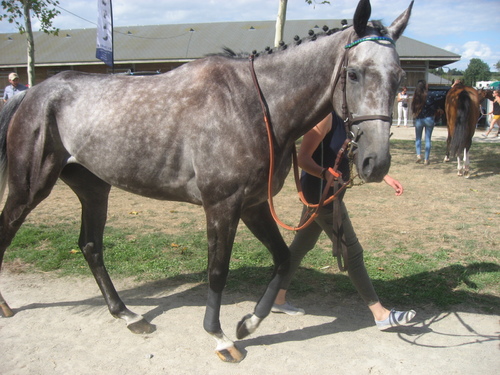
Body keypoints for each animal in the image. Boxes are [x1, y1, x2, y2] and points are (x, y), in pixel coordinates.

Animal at [0, 0, 414, 364]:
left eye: (398, 77)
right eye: (354, 73)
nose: (375, 162)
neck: (255, 105)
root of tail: (33, 92)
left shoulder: (253, 205)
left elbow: (283, 259)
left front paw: (248, 323)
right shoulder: (222, 206)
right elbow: (218, 270)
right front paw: (220, 337)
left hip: (94, 188)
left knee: (90, 246)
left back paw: (128, 315)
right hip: (29, 187)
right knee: (8, 231)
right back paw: (7, 306)